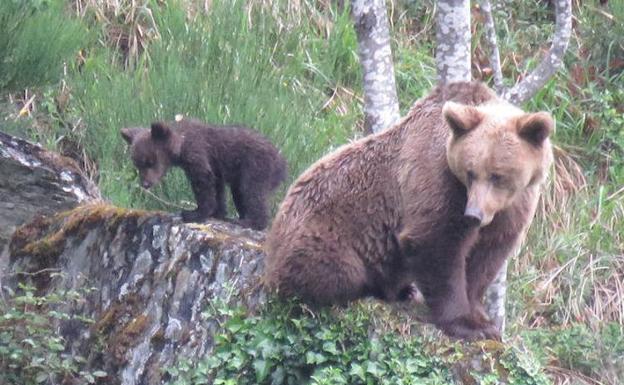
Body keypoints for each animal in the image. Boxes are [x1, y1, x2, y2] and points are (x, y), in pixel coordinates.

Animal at [264, 81, 552, 340]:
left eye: (497, 175)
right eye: (470, 172)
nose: (473, 214)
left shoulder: (514, 207)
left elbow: (487, 255)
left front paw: (482, 318)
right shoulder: (438, 178)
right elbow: (438, 242)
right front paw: (466, 324)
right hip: (324, 235)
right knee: (333, 272)